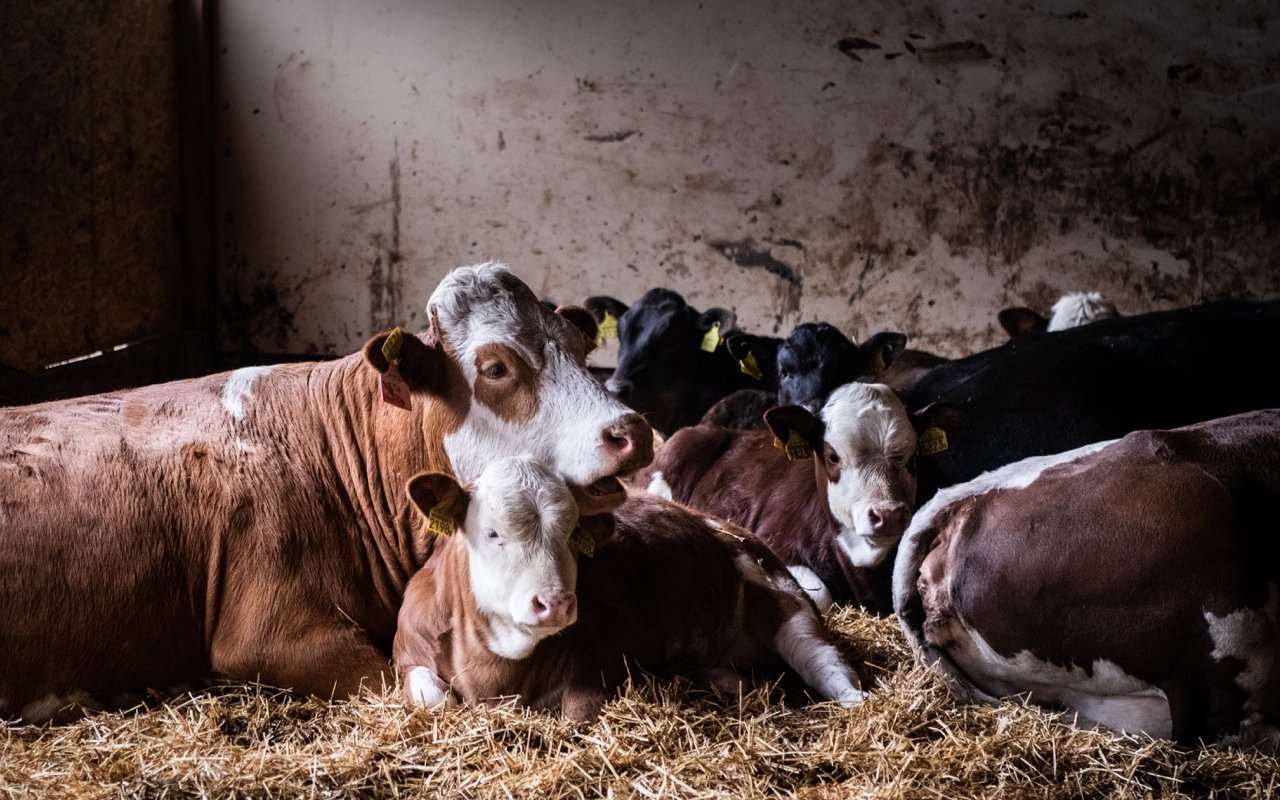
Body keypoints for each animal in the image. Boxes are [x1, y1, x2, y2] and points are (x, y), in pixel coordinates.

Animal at [394, 453, 865, 721]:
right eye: (492, 533)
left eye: (572, 534)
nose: (556, 603)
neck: (496, 667)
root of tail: (716, 523)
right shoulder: (408, 650)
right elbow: (434, 699)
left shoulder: (620, 640)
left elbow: (578, 711)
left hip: (782, 596)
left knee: (825, 662)